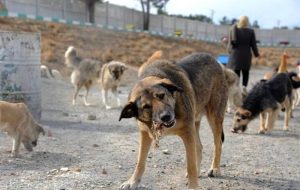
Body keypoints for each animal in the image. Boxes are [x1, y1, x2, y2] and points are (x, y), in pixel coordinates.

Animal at [119, 52, 227, 190]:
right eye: (146, 106)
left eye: (161, 95)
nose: (166, 116)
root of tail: (213, 58)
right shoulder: (145, 134)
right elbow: (140, 162)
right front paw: (132, 181)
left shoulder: (187, 132)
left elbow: (190, 164)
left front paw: (193, 186)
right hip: (195, 123)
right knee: (199, 146)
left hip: (214, 117)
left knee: (218, 143)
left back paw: (215, 168)